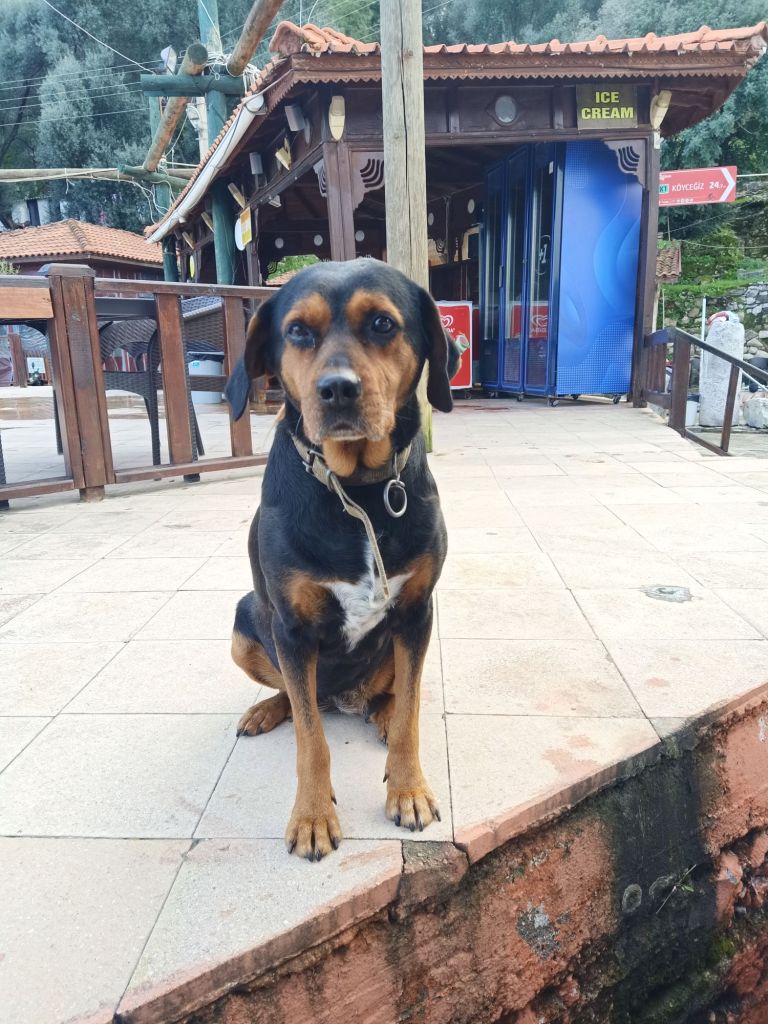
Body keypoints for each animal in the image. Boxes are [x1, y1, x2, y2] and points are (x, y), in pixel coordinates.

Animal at [225, 258, 459, 860]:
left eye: (382, 323)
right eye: (297, 331)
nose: (336, 390)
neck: (357, 491)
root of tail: (346, 699)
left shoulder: (418, 611)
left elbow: (411, 714)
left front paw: (409, 790)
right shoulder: (292, 629)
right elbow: (311, 740)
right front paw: (312, 815)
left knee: (397, 695)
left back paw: (381, 712)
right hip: (244, 622)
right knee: (296, 696)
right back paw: (267, 709)